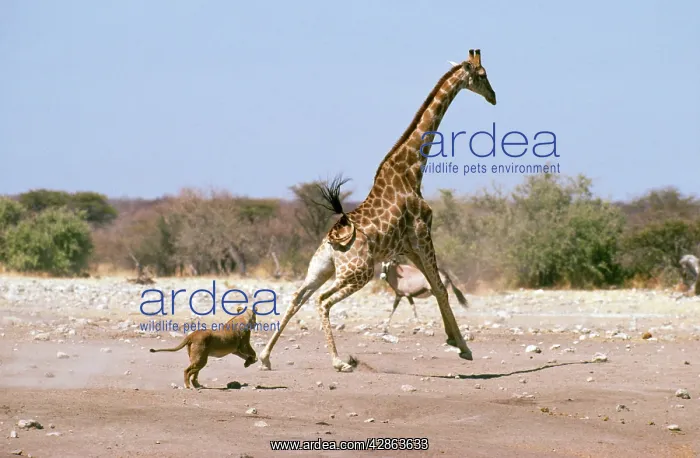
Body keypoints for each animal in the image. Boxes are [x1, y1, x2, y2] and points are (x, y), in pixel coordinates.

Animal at [259, 49, 496, 372]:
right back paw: (338, 361)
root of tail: (333, 241)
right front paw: (463, 347)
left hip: (321, 268)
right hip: (359, 272)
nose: (494, 97)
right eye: (483, 75)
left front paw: (456, 342)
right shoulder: (422, 233)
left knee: (298, 296)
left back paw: (265, 357)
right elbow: (441, 287)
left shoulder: (408, 246)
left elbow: (436, 288)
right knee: (322, 300)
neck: (412, 171)